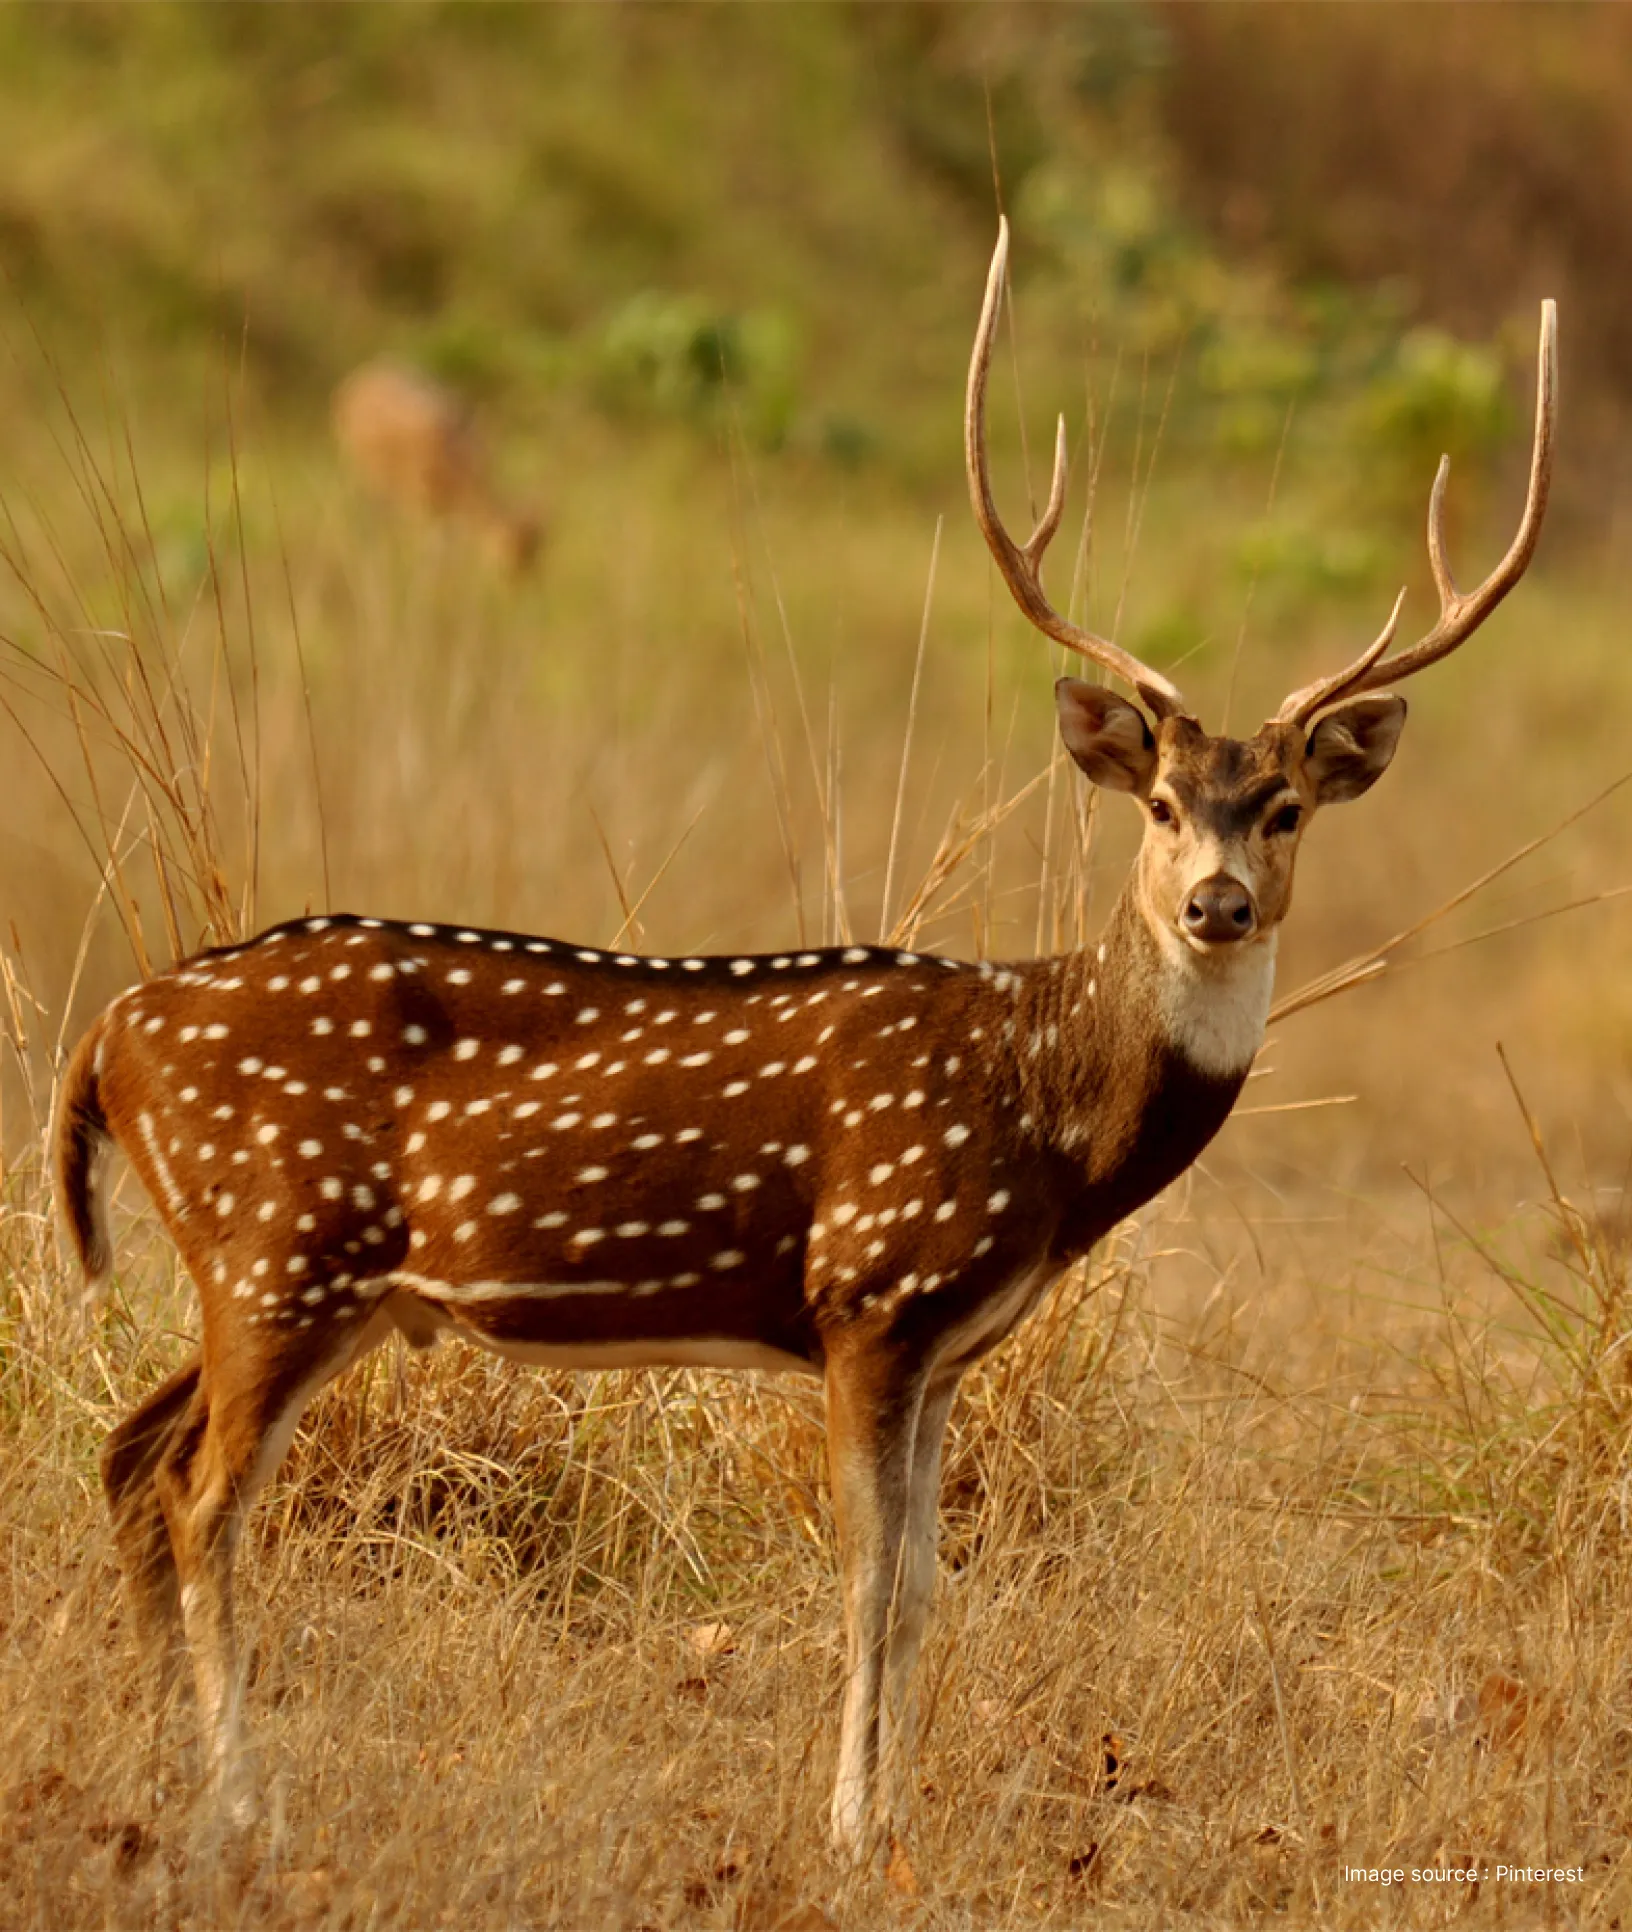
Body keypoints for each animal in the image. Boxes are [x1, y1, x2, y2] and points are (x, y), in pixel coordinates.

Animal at [332, 359, 542, 575]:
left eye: (536, 553)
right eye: (511, 553)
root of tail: (353, 382)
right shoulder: (417, 500)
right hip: (353, 470)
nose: (526, 581)